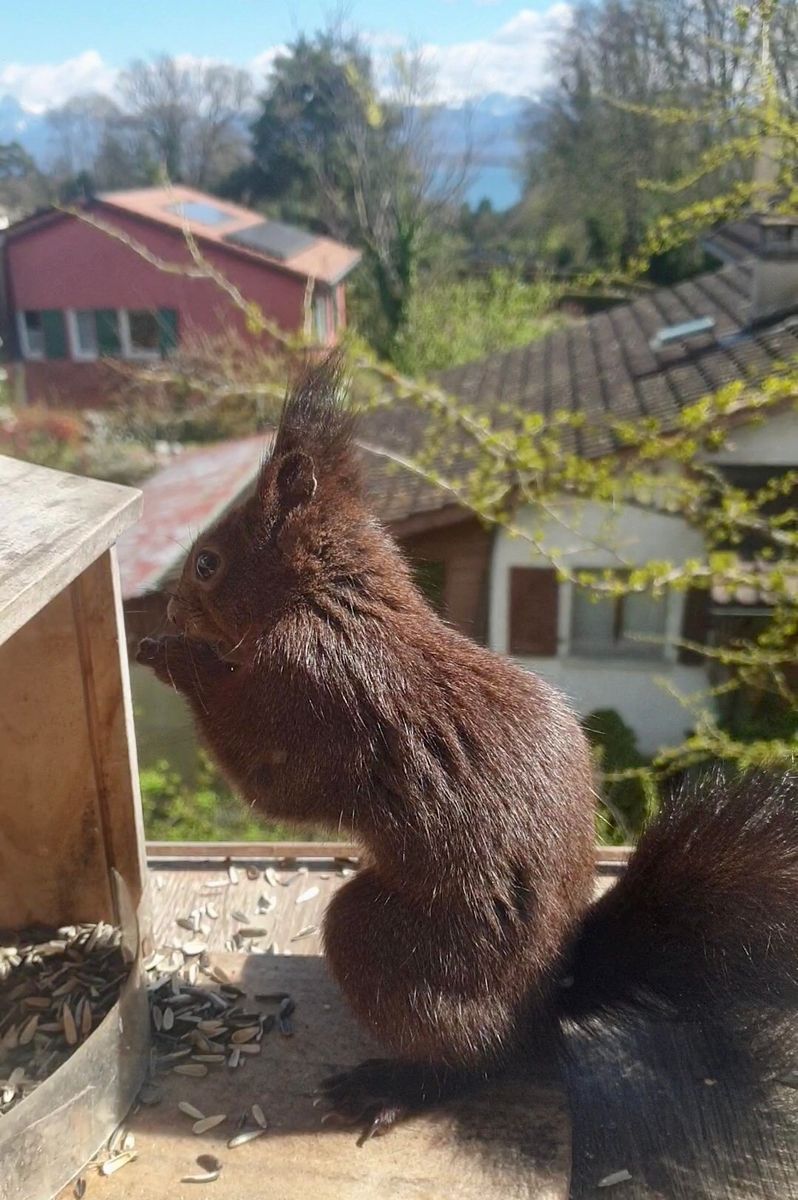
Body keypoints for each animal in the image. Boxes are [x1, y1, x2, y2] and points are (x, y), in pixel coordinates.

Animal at [136, 357, 796, 1142]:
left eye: (207, 564)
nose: (170, 609)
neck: (331, 601)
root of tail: (540, 1013)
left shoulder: (309, 693)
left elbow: (269, 777)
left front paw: (173, 656)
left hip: (396, 946)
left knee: (467, 1064)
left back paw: (389, 1086)